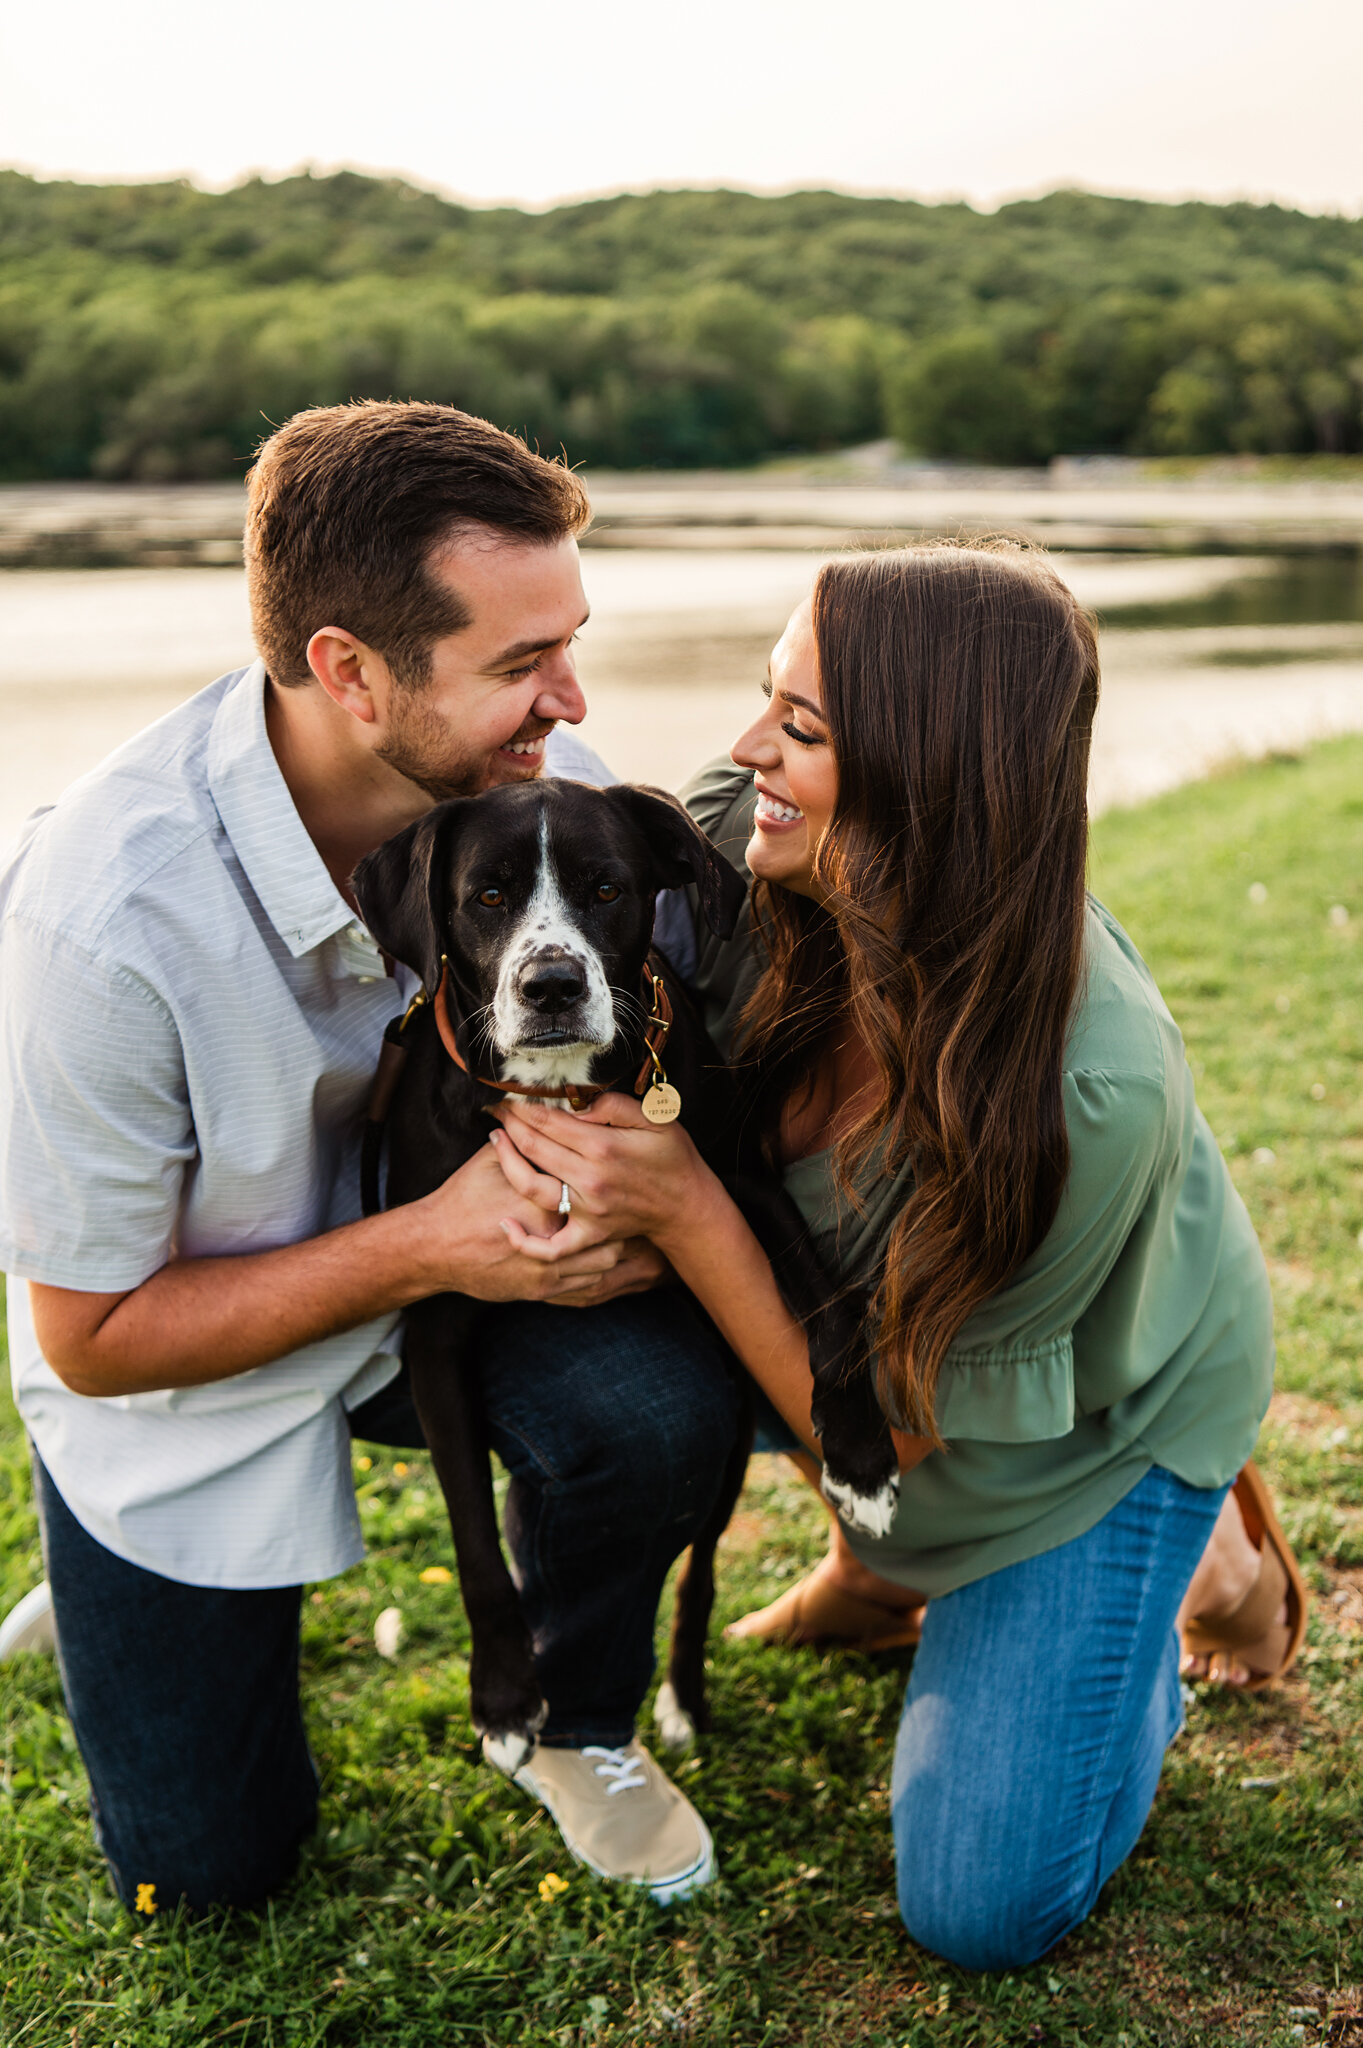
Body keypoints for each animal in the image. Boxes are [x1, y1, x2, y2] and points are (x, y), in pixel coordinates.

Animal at [352, 778, 900, 1777]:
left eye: (607, 888)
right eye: (487, 895)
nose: (552, 986)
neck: (560, 1088)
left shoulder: (737, 1182)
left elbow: (832, 1313)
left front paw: (863, 1461)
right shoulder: (436, 1321)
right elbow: (474, 1537)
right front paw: (504, 1699)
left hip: (731, 1436)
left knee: (701, 1567)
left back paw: (682, 1698)